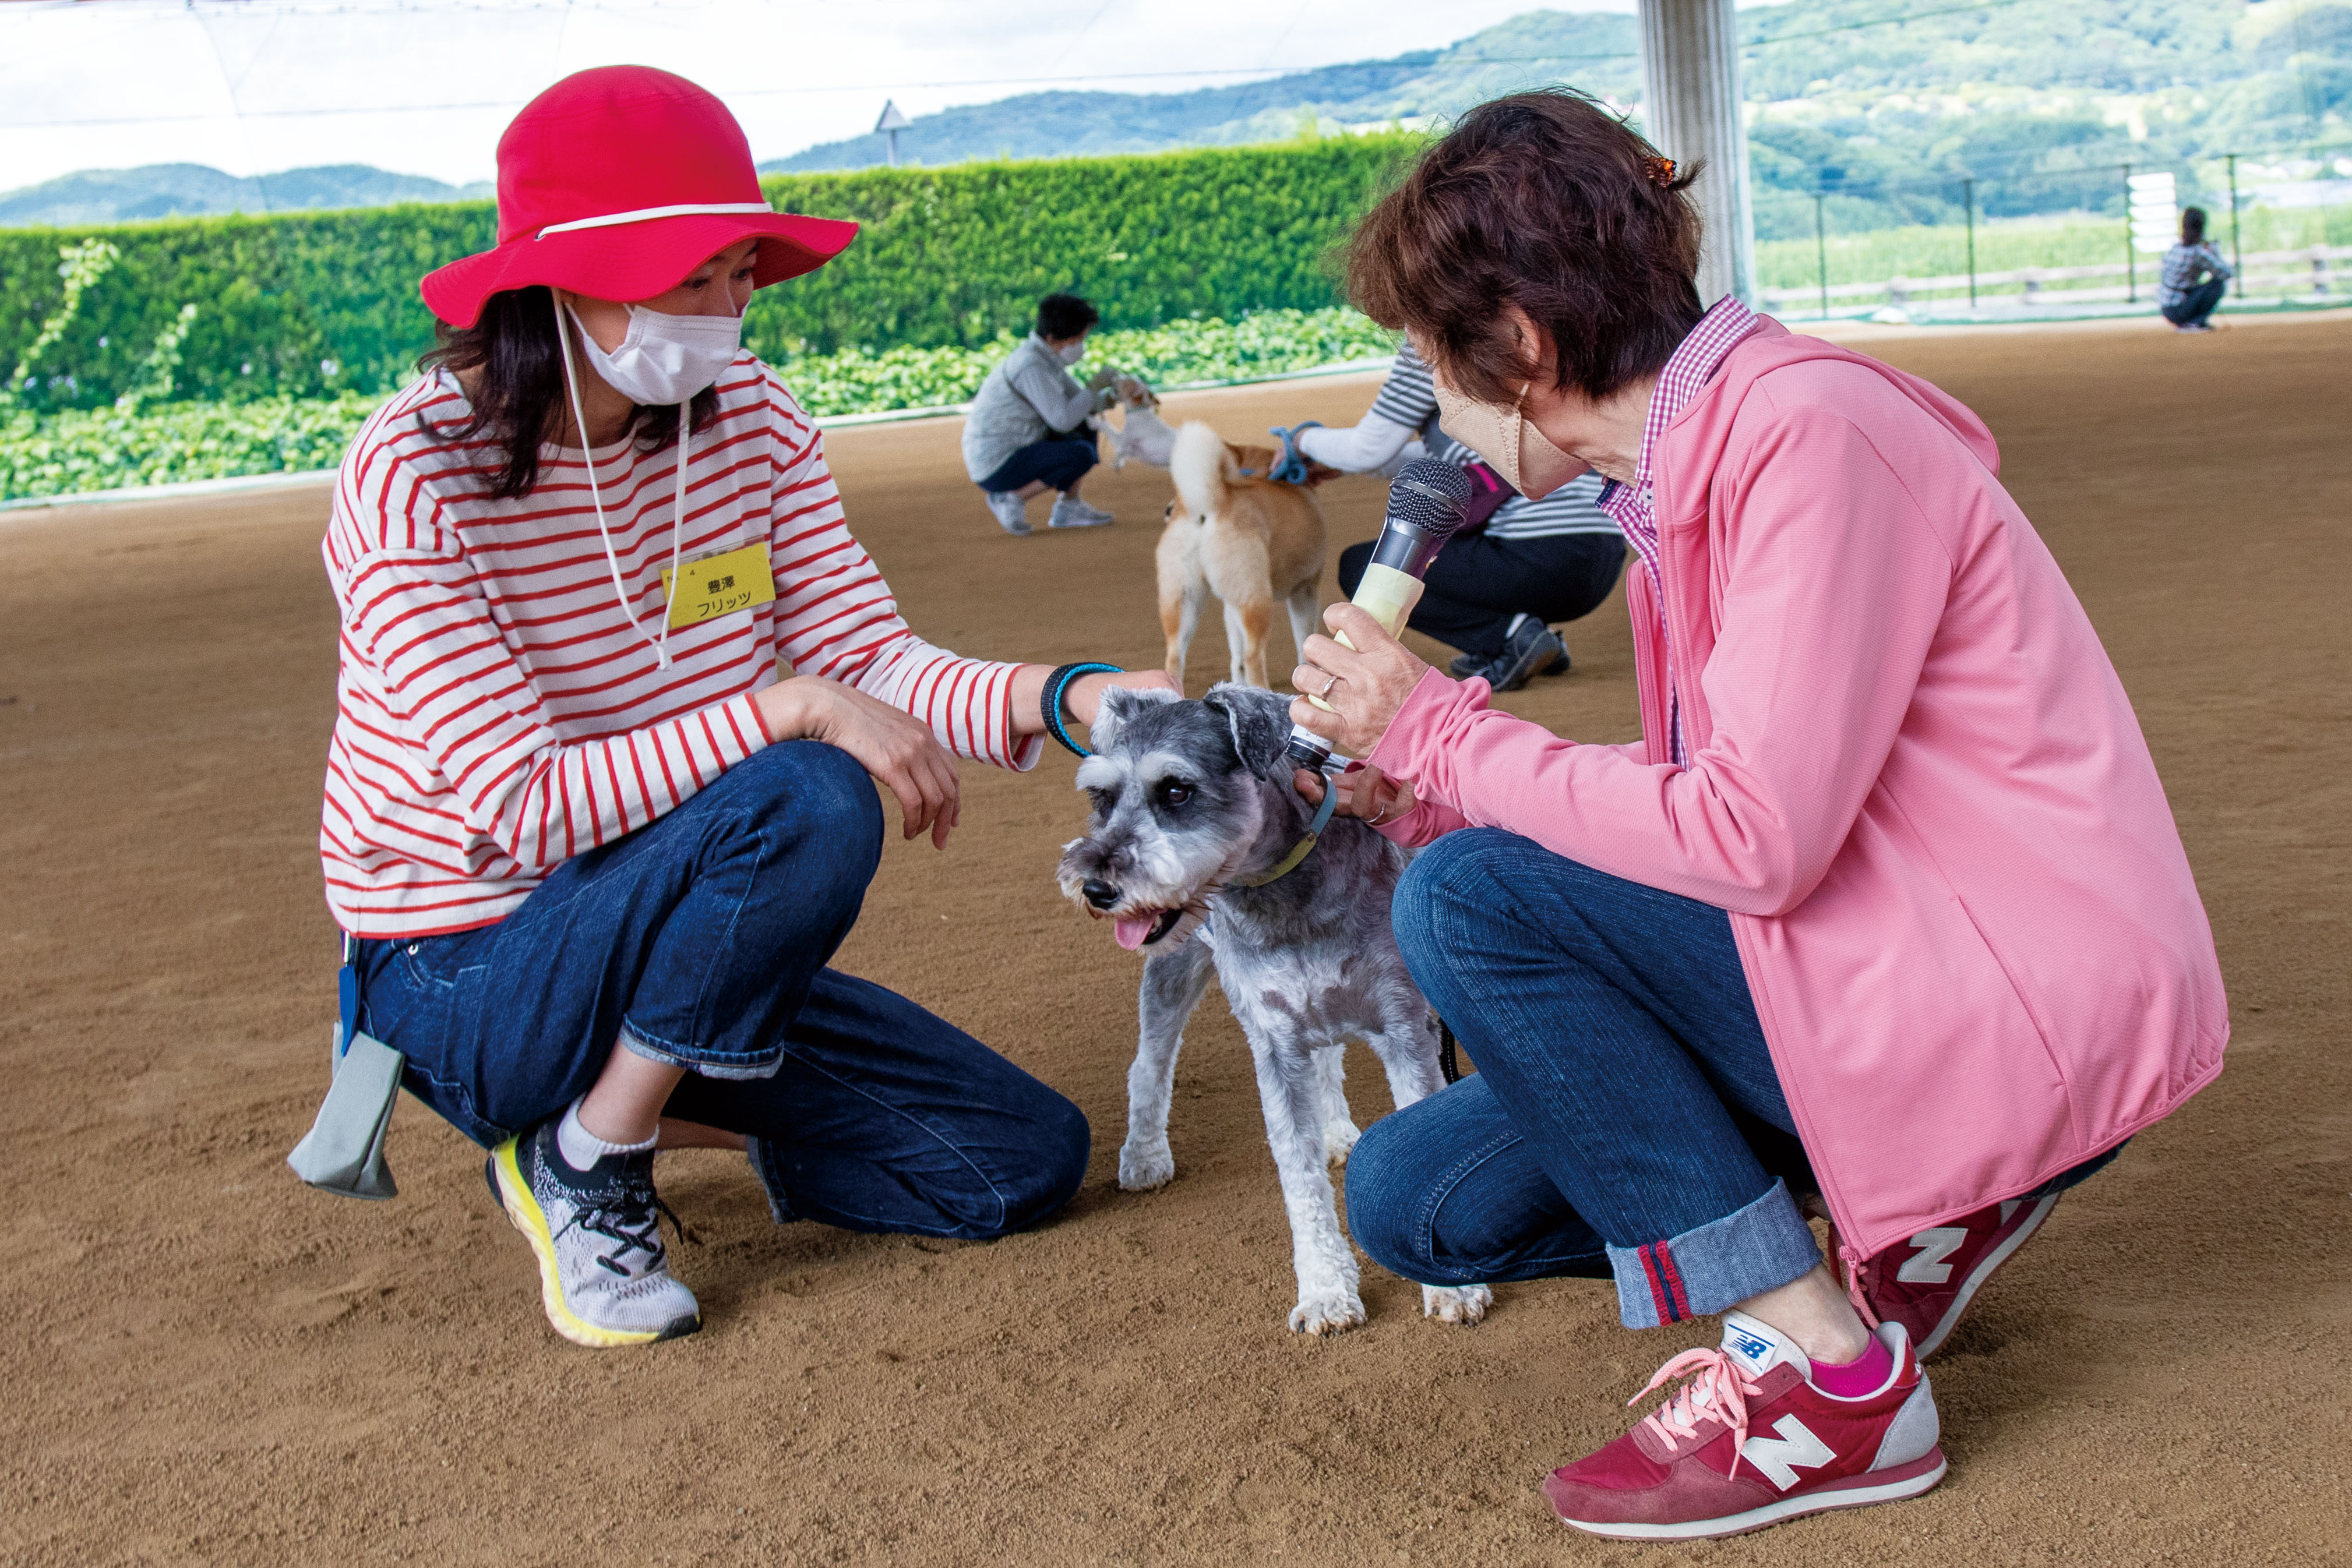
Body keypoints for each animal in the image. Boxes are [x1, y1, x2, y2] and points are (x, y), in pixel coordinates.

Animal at [1063, 681, 1486, 1335]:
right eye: (1101, 797)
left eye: (1176, 790)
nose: (1096, 887)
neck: (1283, 895)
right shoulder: (1274, 1044)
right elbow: (1300, 1178)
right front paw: (1325, 1291)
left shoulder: (1403, 1026)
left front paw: (1451, 1289)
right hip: (1174, 974)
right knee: (1149, 1067)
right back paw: (1144, 1155)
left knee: (1328, 1057)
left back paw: (1335, 1130)